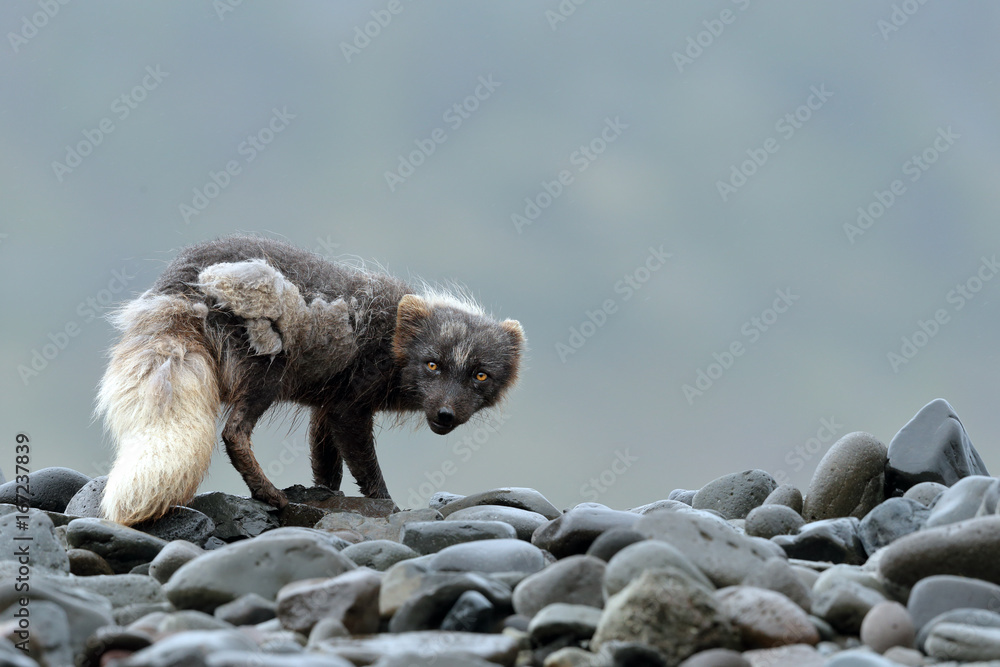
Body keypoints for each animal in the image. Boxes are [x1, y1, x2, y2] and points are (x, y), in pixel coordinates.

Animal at [96, 235, 525, 526]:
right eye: (432, 365)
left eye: (480, 375)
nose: (446, 414)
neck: (392, 343)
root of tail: (180, 290)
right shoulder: (349, 407)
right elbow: (367, 471)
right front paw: (388, 507)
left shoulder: (326, 408)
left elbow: (328, 468)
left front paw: (327, 498)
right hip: (265, 372)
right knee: (234, 432)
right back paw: (270, 494)